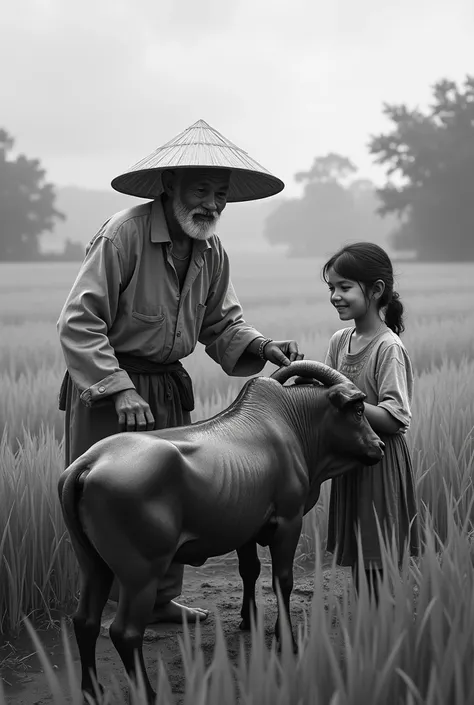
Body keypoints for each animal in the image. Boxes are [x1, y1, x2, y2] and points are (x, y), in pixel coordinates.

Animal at [59, 360, 386, 700]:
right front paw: (287, 641)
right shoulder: (288, 522)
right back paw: (148, 694)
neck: (293, 423)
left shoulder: (245, 527)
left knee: (85, 621)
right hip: (141, 574)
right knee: (125, 633)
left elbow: (250, 570)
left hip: (94, 565)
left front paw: (248, 620)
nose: (379, 446)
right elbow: (282, 581)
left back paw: (91, 689)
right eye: (358, 409)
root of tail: (89, 463)